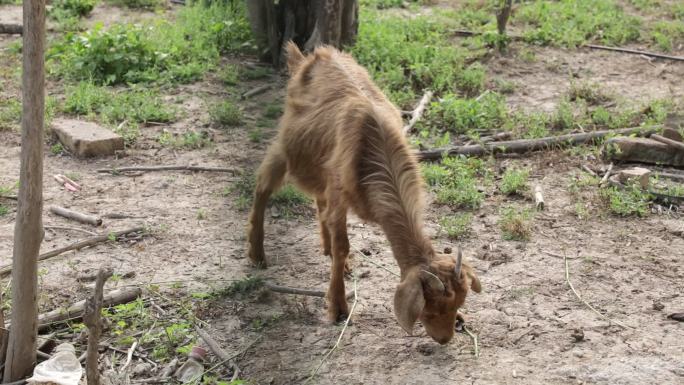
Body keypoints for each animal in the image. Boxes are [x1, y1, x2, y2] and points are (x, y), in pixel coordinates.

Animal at [247, 41, 480, 342]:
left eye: (458, 302)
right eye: (429, 309)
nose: (444, 339)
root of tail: (309, 57)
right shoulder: (338, 192)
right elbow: (342, 244)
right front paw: (338, 307)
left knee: (318, 202)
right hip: (285, 150)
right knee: (262, 187)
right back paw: (257, 254)